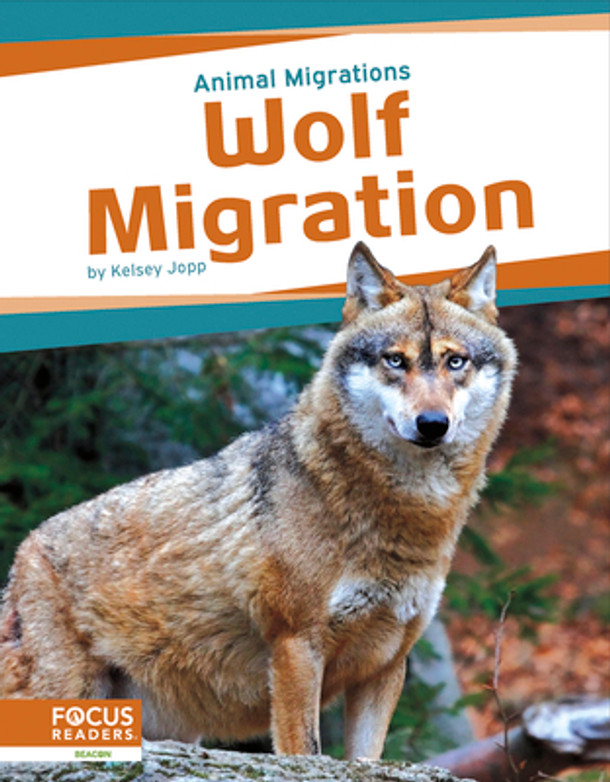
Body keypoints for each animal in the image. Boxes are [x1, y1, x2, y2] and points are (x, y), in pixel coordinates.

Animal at [0, 242, 516, 759]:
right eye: (395, 361)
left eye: (455, 362)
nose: (432, 424)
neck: (406, 516)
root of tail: (22, 552)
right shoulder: (297, 646)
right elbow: (303, 749)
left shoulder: (387, 663)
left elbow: (365, 758)